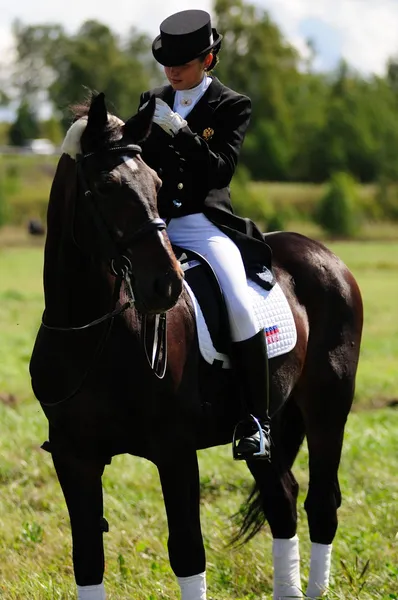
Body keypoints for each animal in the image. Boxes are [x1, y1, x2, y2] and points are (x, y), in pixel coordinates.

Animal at [28, 91, 364, 596]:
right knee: (281, 497)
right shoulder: (75, 458)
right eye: (105, 185)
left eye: (155, 181)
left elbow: (188, 551)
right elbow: (87, 559)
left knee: (321, 503)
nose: (165, 285)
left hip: (327, 407)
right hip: (270, 419)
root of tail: (326, 256)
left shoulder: (175, 450)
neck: (89, 331)